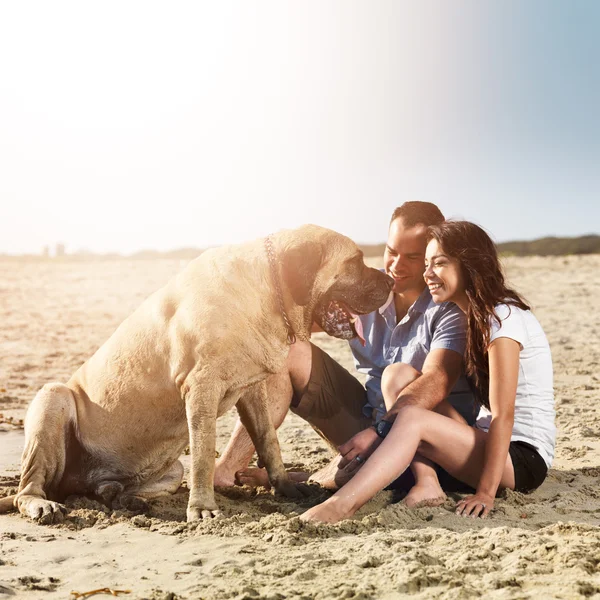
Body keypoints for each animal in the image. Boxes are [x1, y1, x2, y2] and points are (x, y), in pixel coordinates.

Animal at [1, 223, 394, 524]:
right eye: (356, 262)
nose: (391, 280)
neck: (268, 292)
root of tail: (69, 485)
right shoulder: (201, 387)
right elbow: (204, 454)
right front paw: (203, 509)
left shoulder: (253, 389)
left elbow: (268, 441)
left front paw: (284, 487)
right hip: (53, 398)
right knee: (27, 488)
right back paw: (43, 503)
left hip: (169, 470)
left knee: (109, 487)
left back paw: (122, 498)